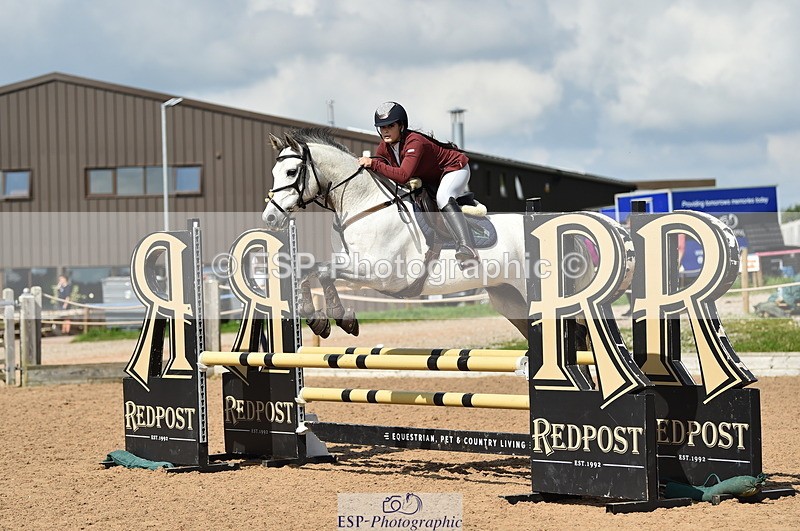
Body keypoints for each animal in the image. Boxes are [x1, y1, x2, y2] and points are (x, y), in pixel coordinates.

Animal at [261, 128, 590, 341]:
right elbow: (311, 271)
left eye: (291, 172)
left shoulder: (380, 273)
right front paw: (319, 319)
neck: (363, 205)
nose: (270, 218)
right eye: (274, 173)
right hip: (508, 298)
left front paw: (339, 318)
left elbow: (323, 272)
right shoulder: (355, 269)